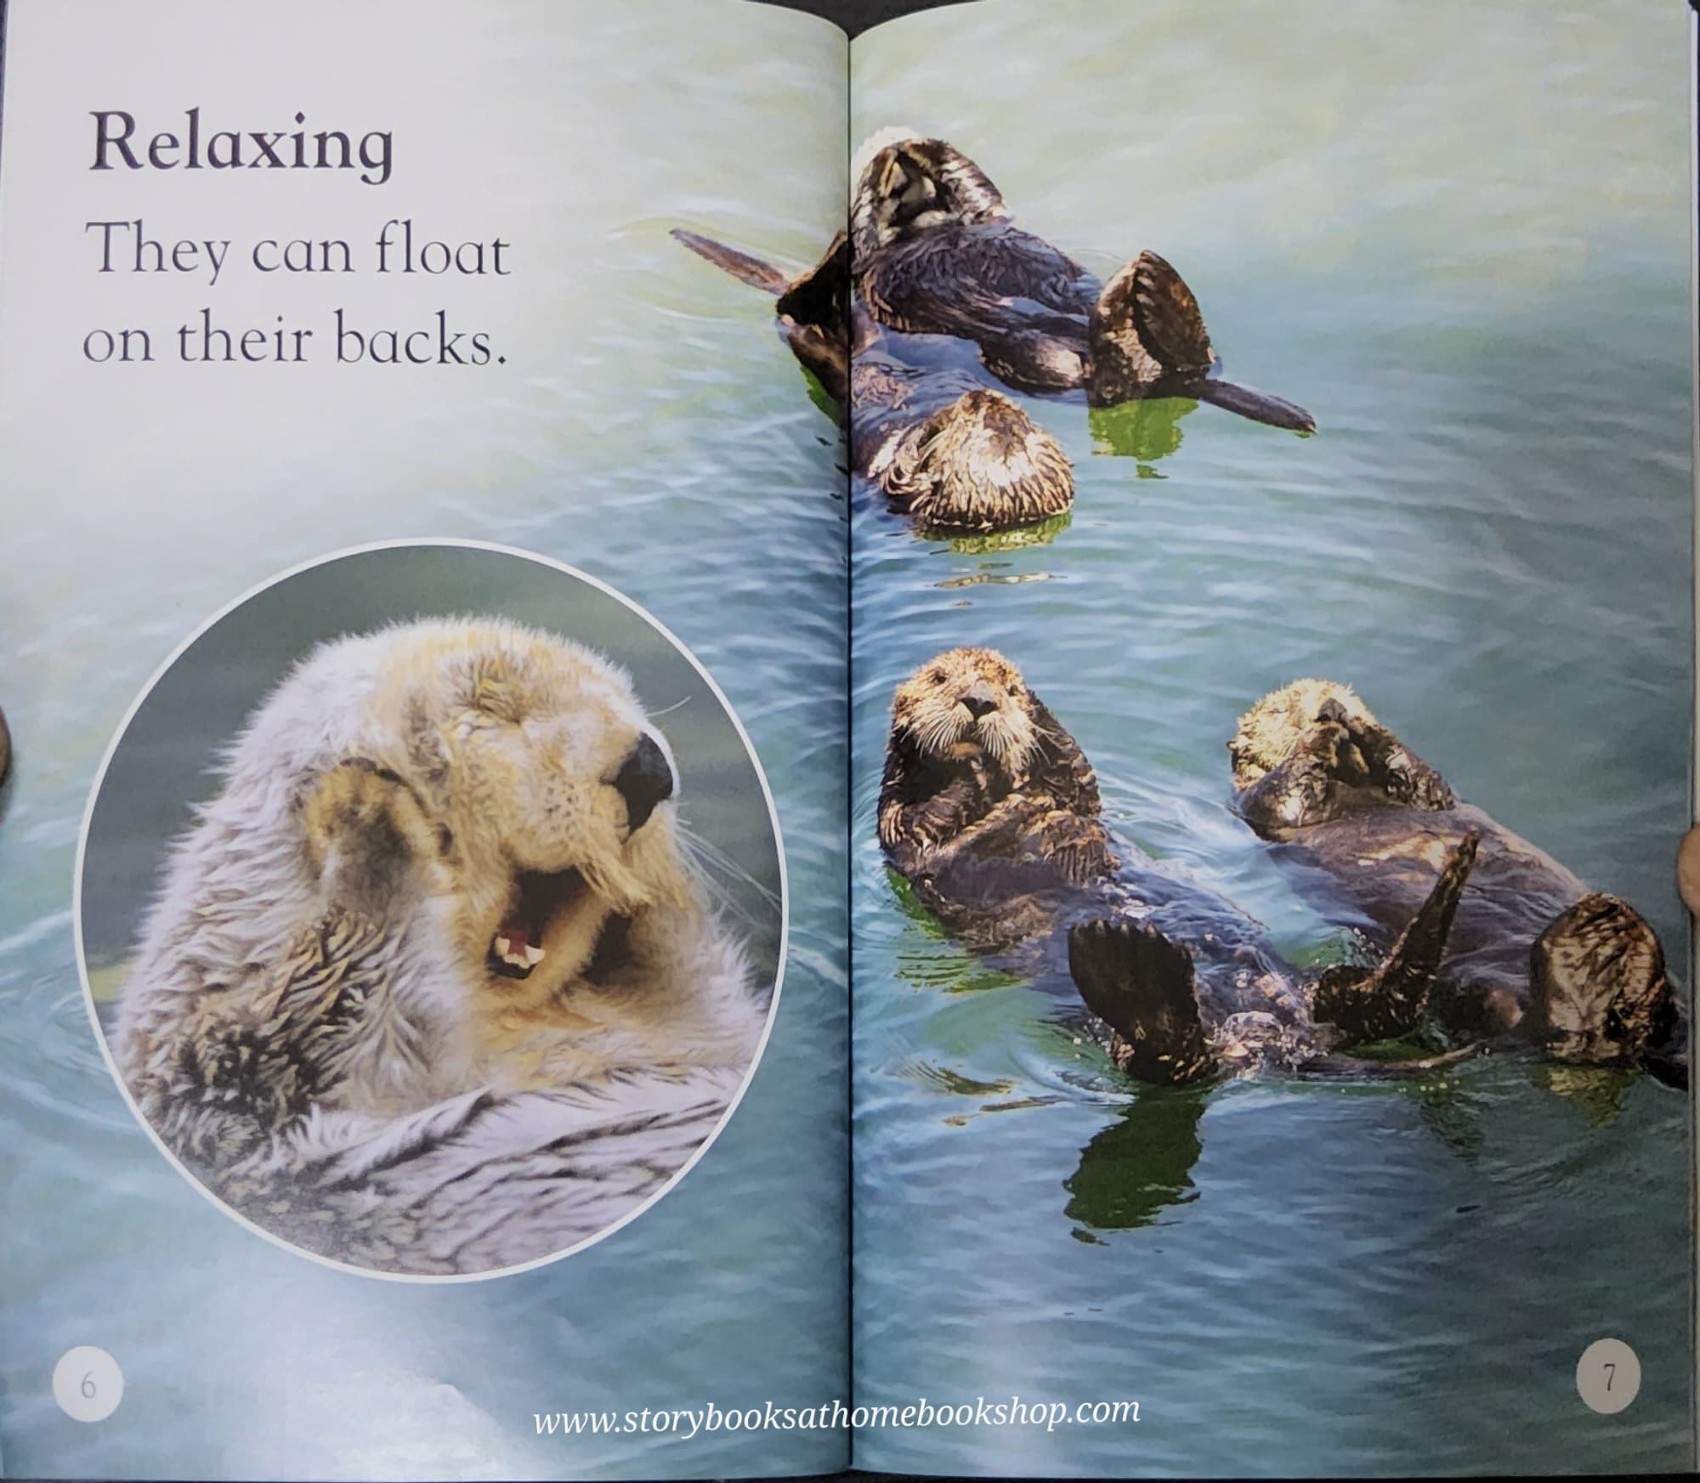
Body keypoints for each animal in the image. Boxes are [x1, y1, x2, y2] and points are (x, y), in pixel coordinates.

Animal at [114, 617, 765, 1273]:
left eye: (628, 705)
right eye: (494, 706)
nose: (650, 767)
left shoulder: (683, 1029)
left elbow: (705, 1009)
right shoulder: (232, 1081)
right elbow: (337, 1027)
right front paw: (365, 809)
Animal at [674, 227, 1074, 532]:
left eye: (977, 426)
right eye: (1017, 423)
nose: (981, 398)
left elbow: (902, 470)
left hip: (814, 338)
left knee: (797, 306)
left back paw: (835, 257)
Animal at [850, 134, 1316, 433]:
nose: (898, 167)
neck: (927, 227)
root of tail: (1175, 380)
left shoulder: (984, 214)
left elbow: (975, 187)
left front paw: (913, 147)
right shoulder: (865, 256)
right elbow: (864, 228)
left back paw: (1156, 288)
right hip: (1025, 355)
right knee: (1109, 386)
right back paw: (1127, 318)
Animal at [880, 648, 1478, 1086]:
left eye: (1004, 687)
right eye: (939, 678)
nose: (980, 700)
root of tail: (1281, 1045)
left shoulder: (1074, 797)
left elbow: (1078, 772)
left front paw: (1030, 712)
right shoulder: (899, 825)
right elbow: (921, 819)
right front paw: (967, 764)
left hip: (1299, 987)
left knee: (1366, 1007)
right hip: (1131, 1038)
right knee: (1172, 1062)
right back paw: (1131, 962)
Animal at [1229, 679, 1686, 1084]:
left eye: (1346, 692)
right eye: (1280, 709)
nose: (1328, 705)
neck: (1354, 790)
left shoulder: (1430, 795)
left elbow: (1420, 779)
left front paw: (1359, 727)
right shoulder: (1258, 805)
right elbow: (1285, 790)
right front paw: (1323, 734)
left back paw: (1620, 950)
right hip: (1475, 988)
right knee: (1548, 1026)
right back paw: (1586, 955)